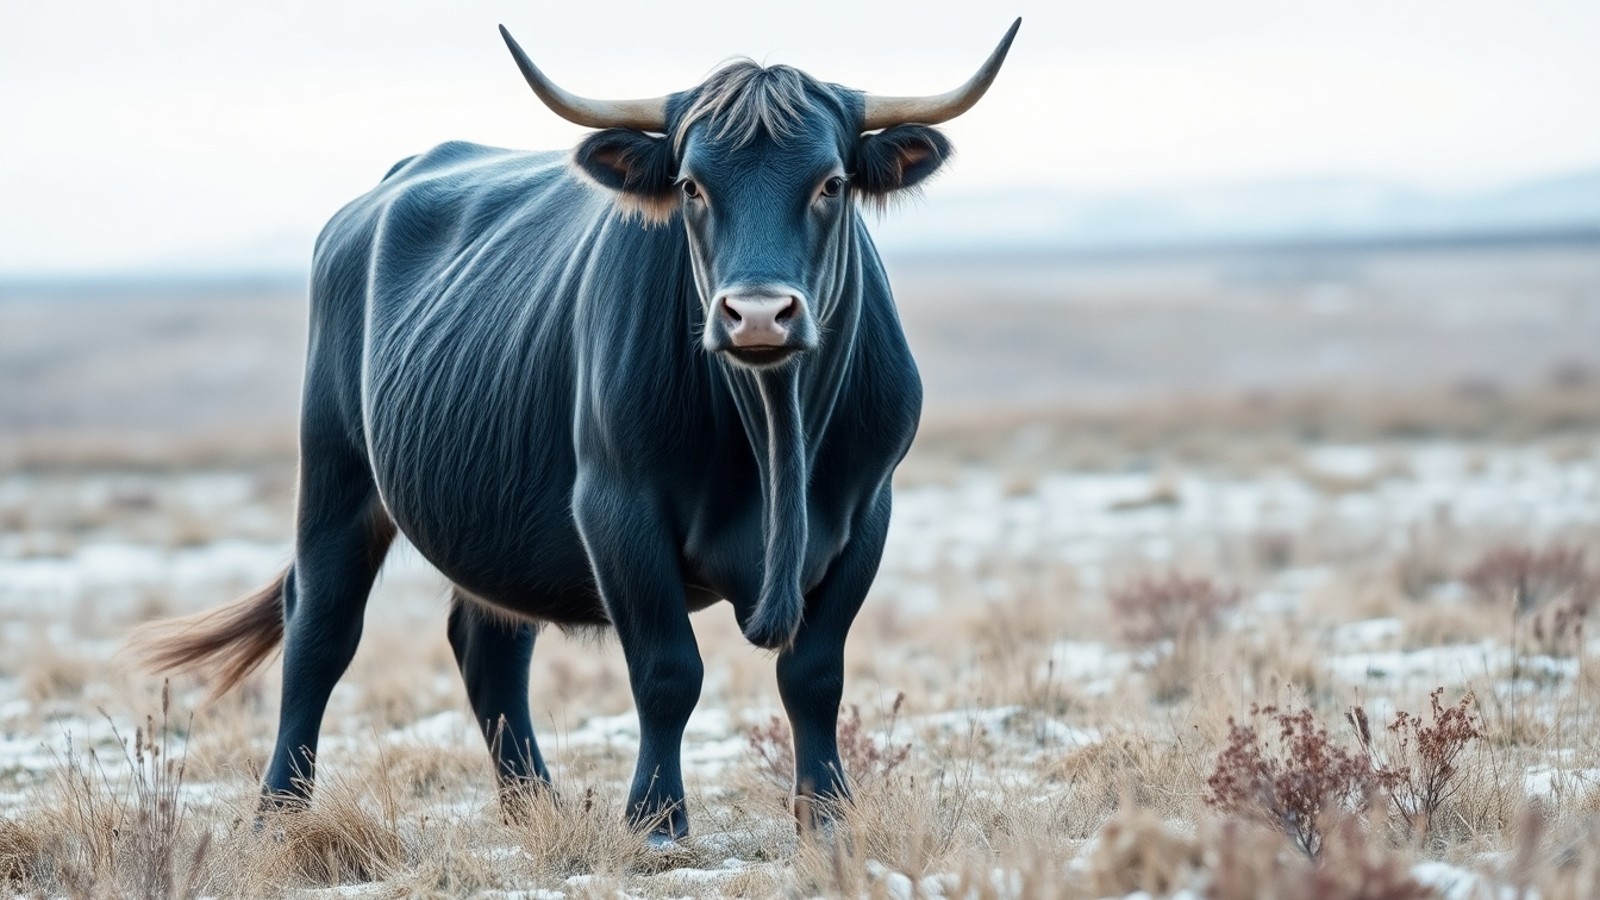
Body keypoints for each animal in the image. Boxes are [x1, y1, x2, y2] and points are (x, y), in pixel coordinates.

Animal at [136, 19, 1020, 842]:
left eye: (831, 182)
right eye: (693, 186)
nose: (758, 313)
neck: (775, 435)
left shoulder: (865, 511)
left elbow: (814, 674)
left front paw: (827, 817)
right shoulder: (616, 506)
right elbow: (668, 671)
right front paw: (657, 822)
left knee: (488, 649)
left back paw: (533, 809)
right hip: (337, 475)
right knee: (320, 630)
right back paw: (278, 815)